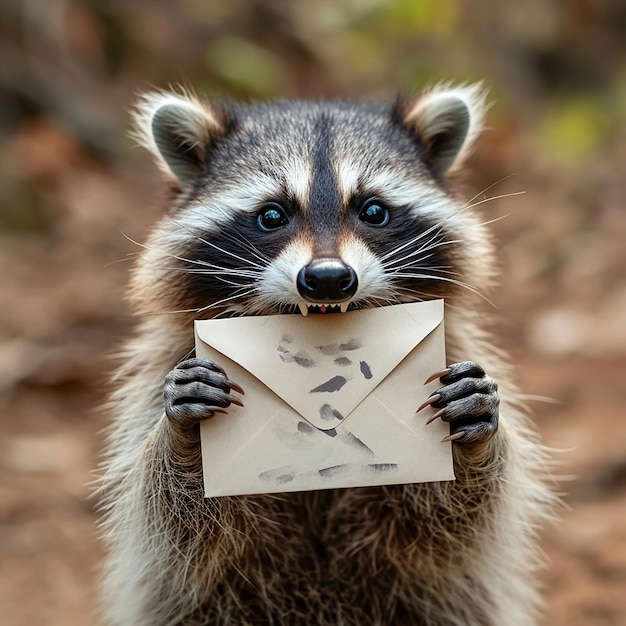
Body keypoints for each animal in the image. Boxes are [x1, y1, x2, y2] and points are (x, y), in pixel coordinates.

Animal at [100, 84, 552, 624]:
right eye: (272, 215)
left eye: (373, 210)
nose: (329, 278)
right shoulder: (160, 365)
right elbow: (172, 528)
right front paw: (184, 438)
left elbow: (450, 525)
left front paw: (472, 440)